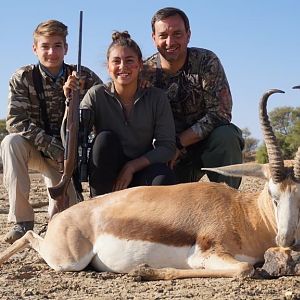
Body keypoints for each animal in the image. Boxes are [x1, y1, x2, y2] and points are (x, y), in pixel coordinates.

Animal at [0, 88, 300, 280]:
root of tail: (62, 217)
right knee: (29, 234)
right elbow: (243, 269)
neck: (244, 215)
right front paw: (143, 271)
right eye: (273, 194)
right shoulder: (206, 255)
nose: (288, 241)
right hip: (69, 261)